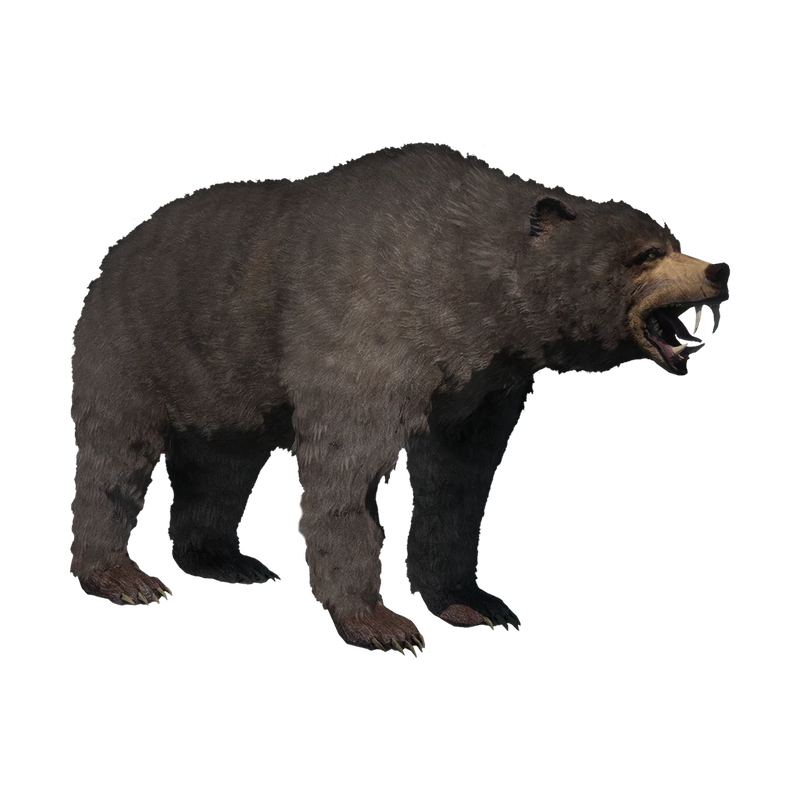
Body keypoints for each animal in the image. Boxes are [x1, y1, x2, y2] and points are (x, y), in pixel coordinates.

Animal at [70, 143, 729, 655]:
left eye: (672, 240)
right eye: (645, 254)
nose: (718, 270)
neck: (476, 291)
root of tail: (116, 250)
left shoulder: (483, 383)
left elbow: (458, 482)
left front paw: (477, 603)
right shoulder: (366, 332)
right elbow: (348, 473)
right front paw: (384, 625)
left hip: (223, 382)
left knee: (219, 466)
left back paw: (227, 561)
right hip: (136, 345)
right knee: (116, 454)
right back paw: (126, 578)